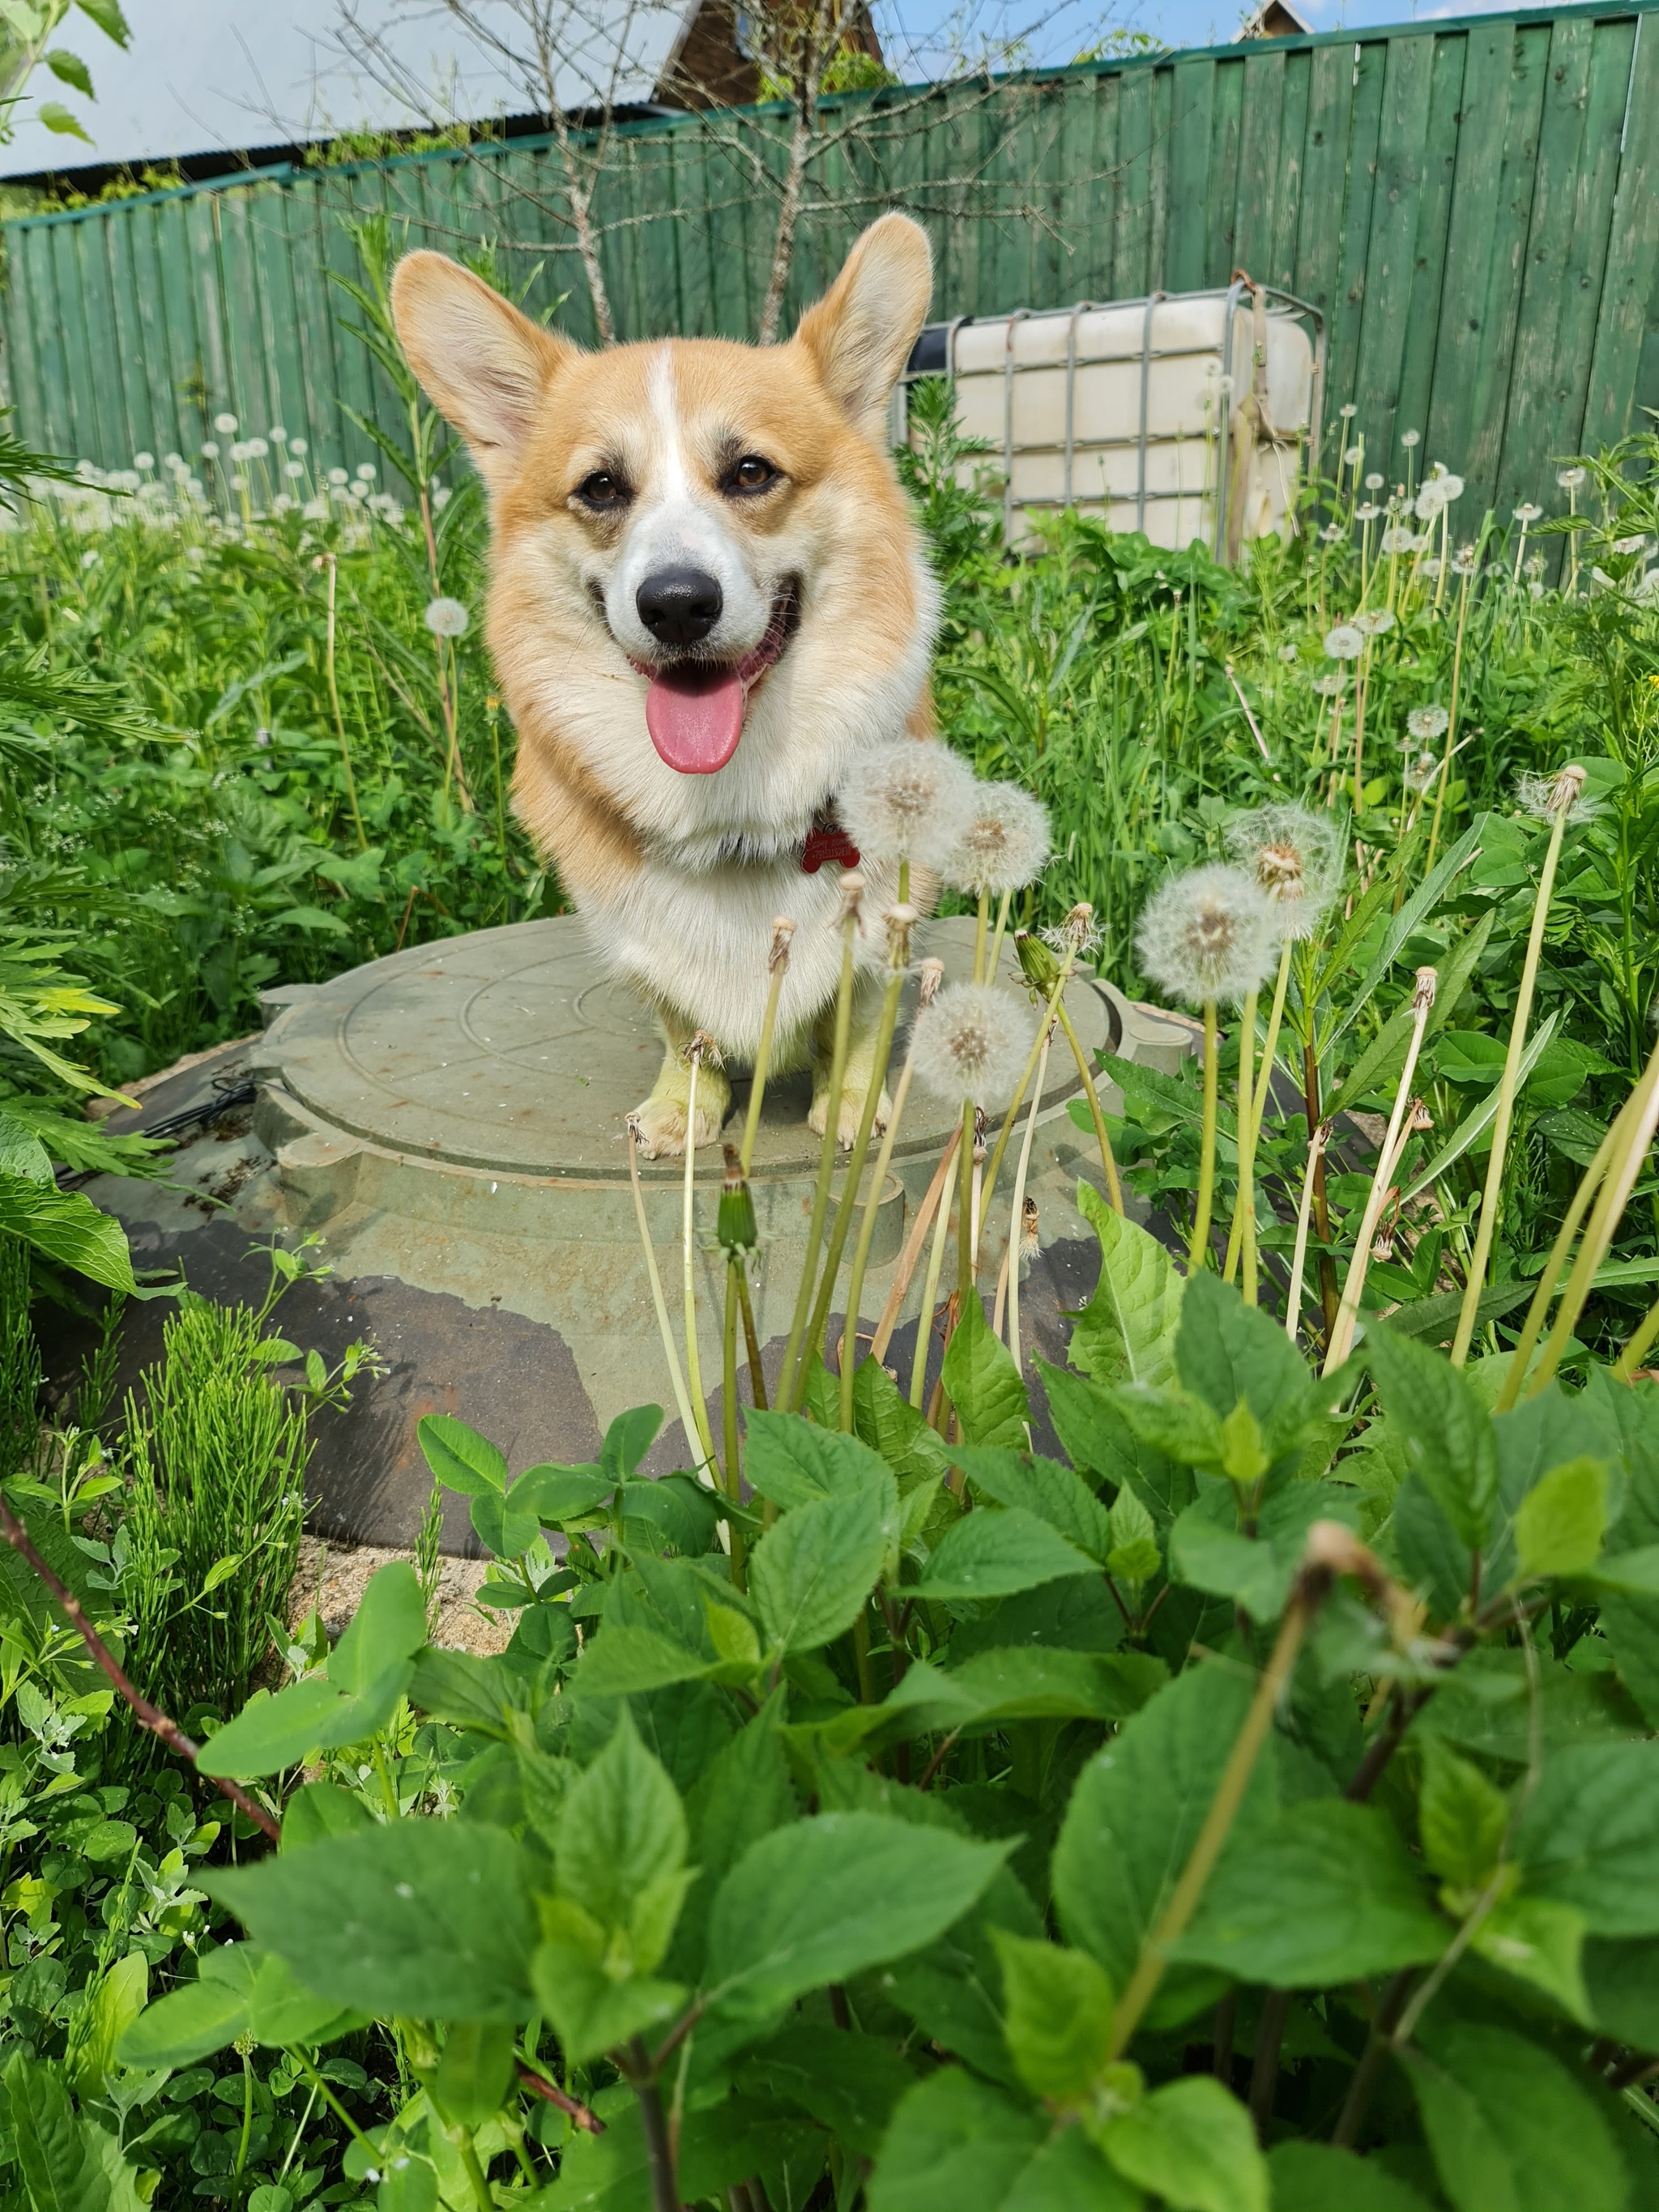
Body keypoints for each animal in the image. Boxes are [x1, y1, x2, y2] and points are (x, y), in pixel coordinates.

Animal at [386, 215, 937, 1159]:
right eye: (601, 487)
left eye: (751, 472)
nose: (677, 604)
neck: (731, 805)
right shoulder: (644, 944)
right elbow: (684, 1028)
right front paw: (683, 1110)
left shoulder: (883, 932)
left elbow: (858, 1020)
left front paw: (847, 1107)